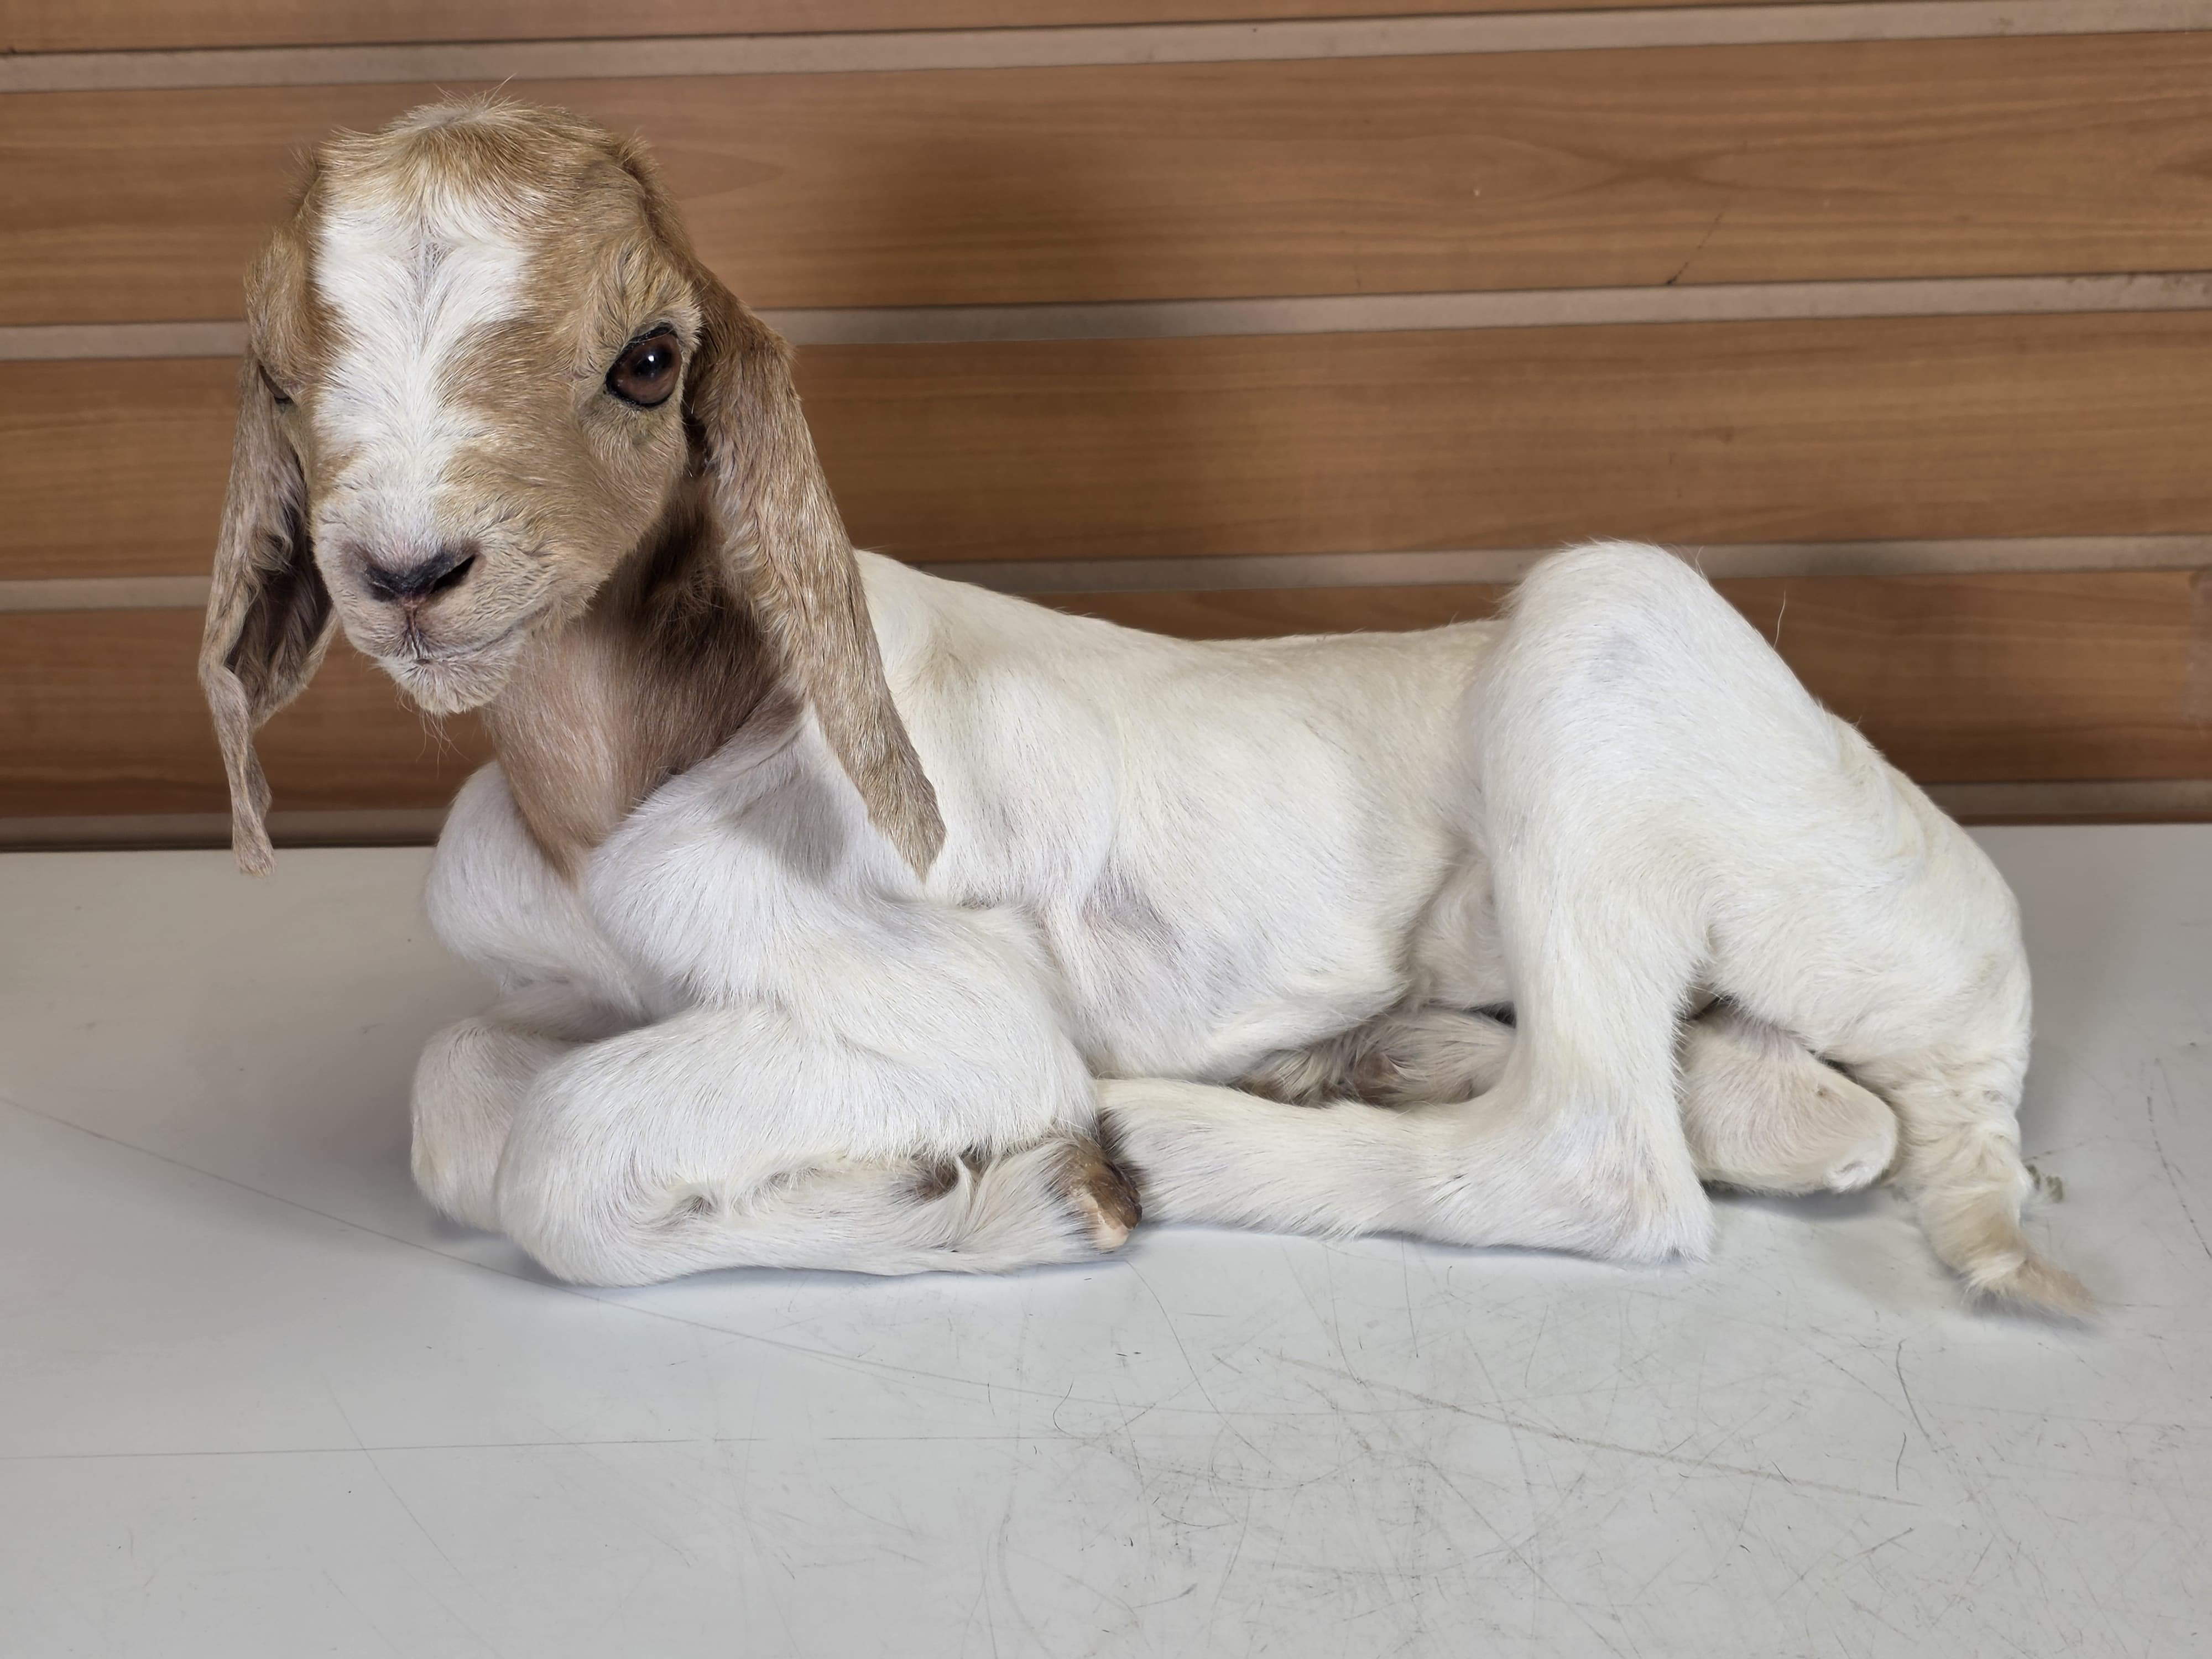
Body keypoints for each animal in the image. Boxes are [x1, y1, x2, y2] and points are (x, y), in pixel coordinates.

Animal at [199, 97, 2087, 1312]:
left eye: (647, 361)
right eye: (279, 378)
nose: (409, 570)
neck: (625, 787)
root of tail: (1984, 985)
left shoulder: (948, 1011)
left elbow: (554, 1153)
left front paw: (1019, 1195)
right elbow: (459, 1089)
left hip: (1604, 639)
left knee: (1603, 1161)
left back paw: (1174, 1138)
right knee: (1815, 1118)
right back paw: (1385, 1051)